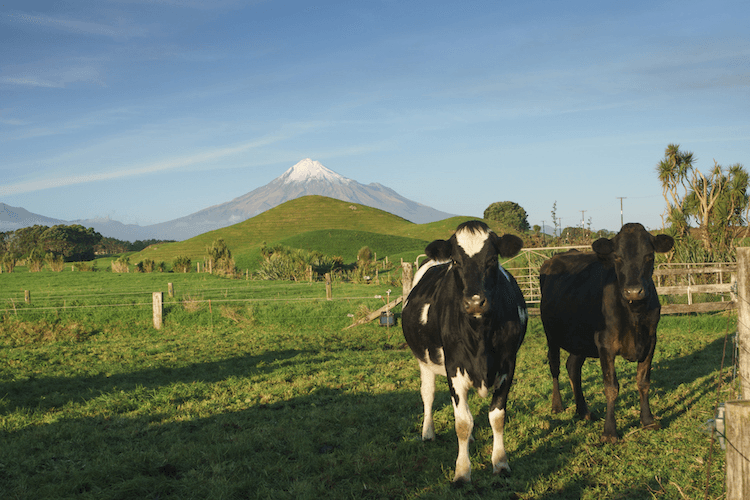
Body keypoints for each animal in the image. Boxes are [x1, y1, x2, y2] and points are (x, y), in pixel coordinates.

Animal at [401, 220, 528, 483]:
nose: (475, 302)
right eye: (456, 261)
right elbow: (461, 423)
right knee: (428, 394)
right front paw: (462, 471)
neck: (480, 335)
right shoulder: (454, 368)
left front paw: (500, 462)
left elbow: (497, 417)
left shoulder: (508, 365)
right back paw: (428, 432)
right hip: (423, 360)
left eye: (492, 259)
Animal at [539, 222, 674, 443]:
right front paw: (610, 432)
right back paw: (557, 405)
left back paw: (583, 411)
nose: (634, 291)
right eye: (617, 257)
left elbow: (643, 382)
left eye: (649, 256)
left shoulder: (650, 340)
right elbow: (611, 388)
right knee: (555, 367)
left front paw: (648, 420)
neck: (634, 313)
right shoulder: (605, 344)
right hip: (551, 333)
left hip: (580, 339)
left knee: (572, 367)